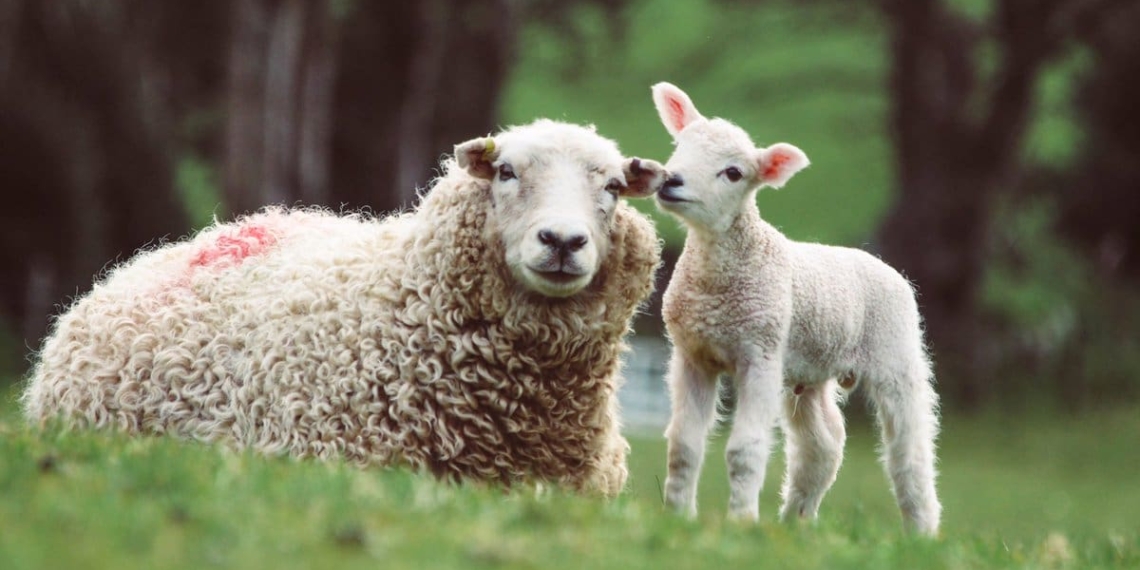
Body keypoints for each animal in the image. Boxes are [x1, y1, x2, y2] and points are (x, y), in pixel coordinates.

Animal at [647, 82, 941, 534]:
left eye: (734, 173)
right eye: (679, 146)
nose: (671, 180)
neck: (716, 283)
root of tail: (883, 264)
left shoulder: (760, 355)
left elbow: (744, 450)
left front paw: (742, 522)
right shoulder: (693, 355)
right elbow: (683, 445)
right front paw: (678, 517)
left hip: (897, 355)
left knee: (910, 453)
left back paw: (922, 533)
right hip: (810, 372)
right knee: (823, 445)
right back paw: (795, 522)